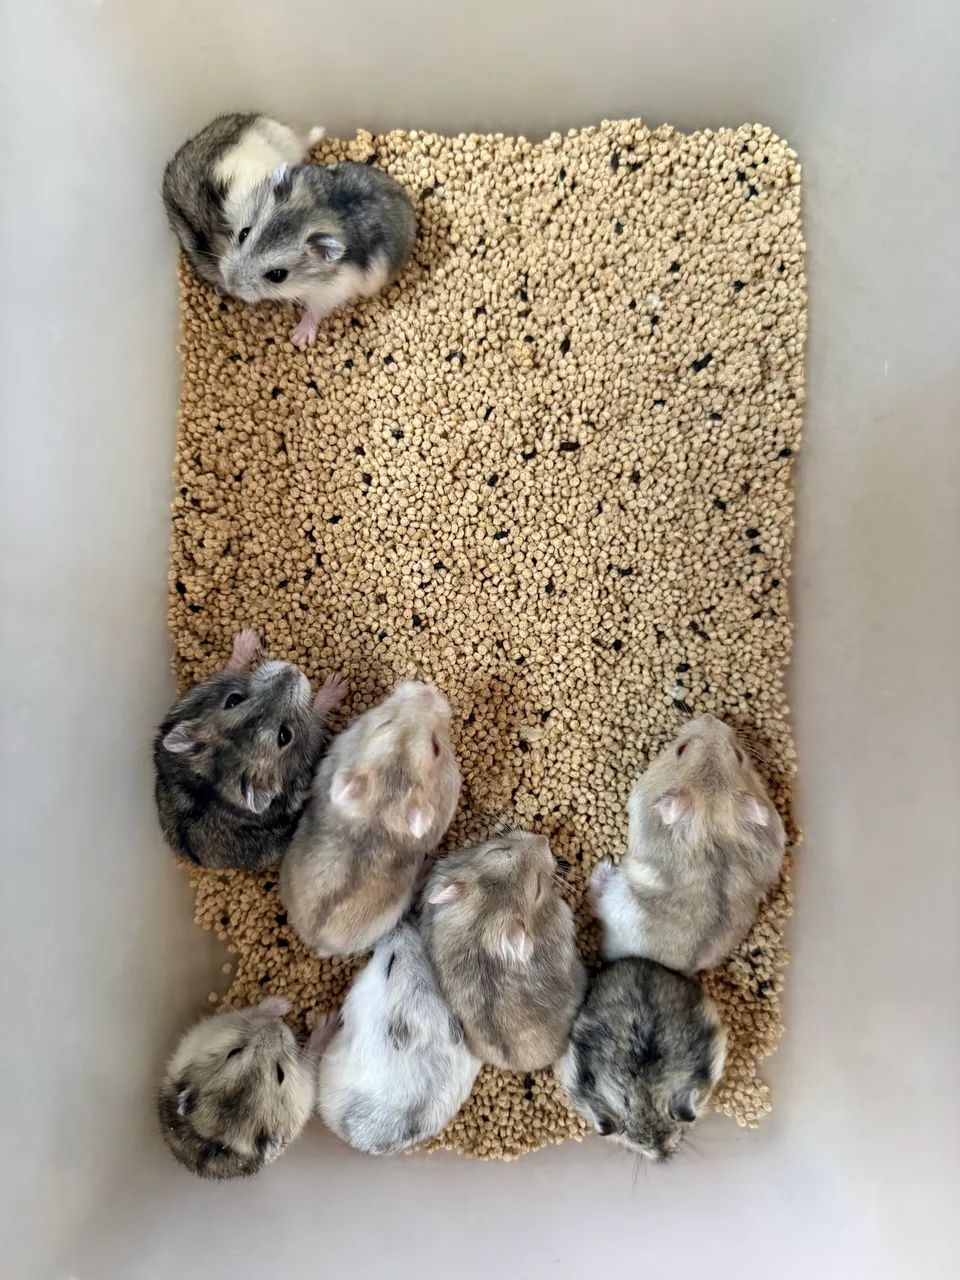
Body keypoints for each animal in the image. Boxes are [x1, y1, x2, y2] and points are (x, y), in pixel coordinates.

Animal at [153, 628, 346, 871]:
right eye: (285, 735)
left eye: (233, 700)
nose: (294, 669)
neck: (216, 784)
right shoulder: (310, 741)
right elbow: (315, 716)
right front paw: (338, 683)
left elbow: (229, 667)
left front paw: (247, 636)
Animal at [218, 161, 417, 346]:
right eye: (243, 233)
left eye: (277, 275)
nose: (229, 285)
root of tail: (406, 199)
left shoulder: (329, 293)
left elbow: (314, 312)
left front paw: (298, 338)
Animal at [591, 714, 786, 973]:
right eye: (740, 755)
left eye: (680, 749)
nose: (709, 716)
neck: (711, 833)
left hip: (614, 897)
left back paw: (601, 868)